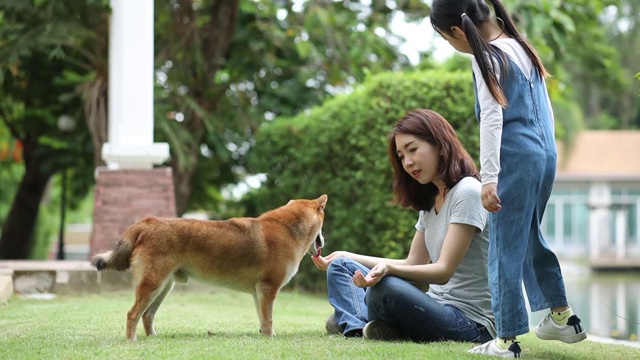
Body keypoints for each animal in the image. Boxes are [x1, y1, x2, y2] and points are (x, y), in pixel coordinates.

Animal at [91, 195, 330, 338]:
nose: (324, 241)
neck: (288, 230)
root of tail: (147, 222)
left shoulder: (259, 293)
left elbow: (263, 320)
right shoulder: (268, 289)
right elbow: (269, 321)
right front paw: (270, 338)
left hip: (163, 287)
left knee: (147, 315)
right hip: (154, 284)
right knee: (133, 314)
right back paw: (132, 340)